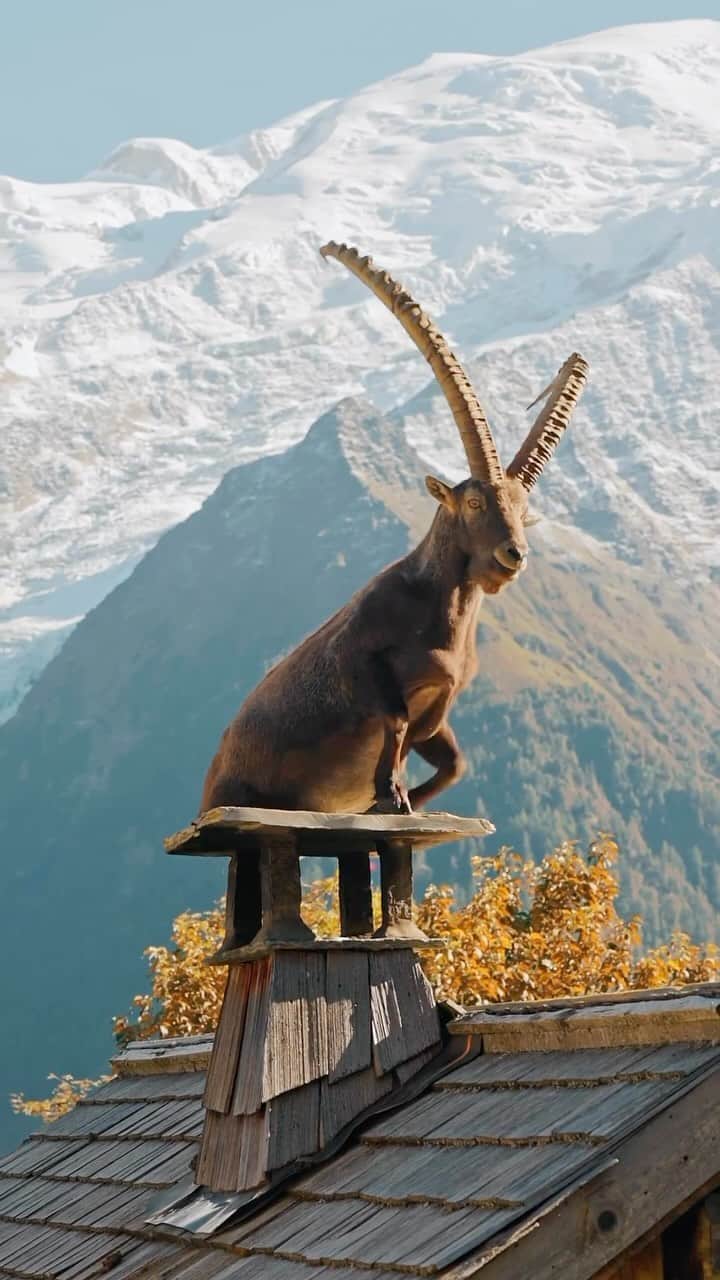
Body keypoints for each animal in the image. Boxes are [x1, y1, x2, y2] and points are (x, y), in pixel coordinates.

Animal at [201, 243, 588, 815]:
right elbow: (396, 719)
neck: (439, 620)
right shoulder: (361, 661)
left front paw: (396, 798)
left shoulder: (441, 703)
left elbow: (451, 761)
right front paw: (390, 793)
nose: (513, 555)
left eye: (525, 512)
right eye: (475, 501)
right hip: (234, 795)